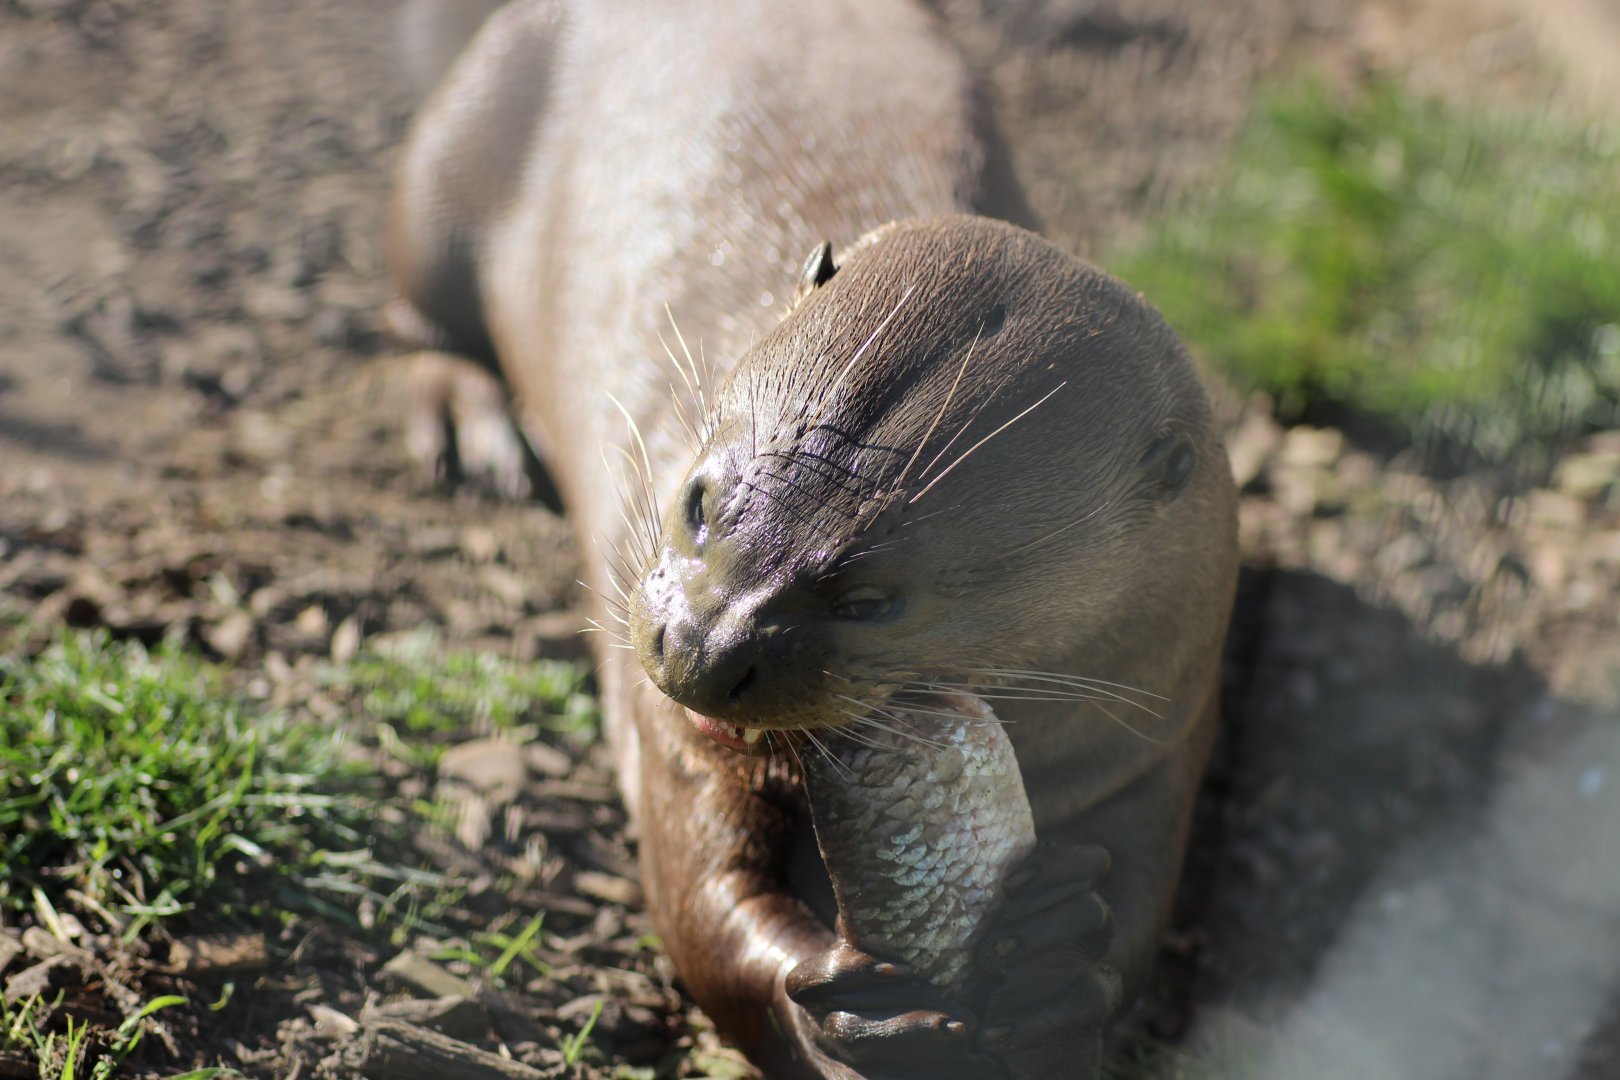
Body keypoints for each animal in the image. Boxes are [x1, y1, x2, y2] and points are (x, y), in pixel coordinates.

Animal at [386, 2, 1237, 1076]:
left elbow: (1137, 916)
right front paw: (846, 1003)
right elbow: (706, 911)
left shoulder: (1167, 718)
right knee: (416, 307)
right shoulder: (674, 745)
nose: (699, 649)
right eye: (698, 499)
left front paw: (1051, 955)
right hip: (460, 151)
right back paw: (468, 421)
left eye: (872, 598)